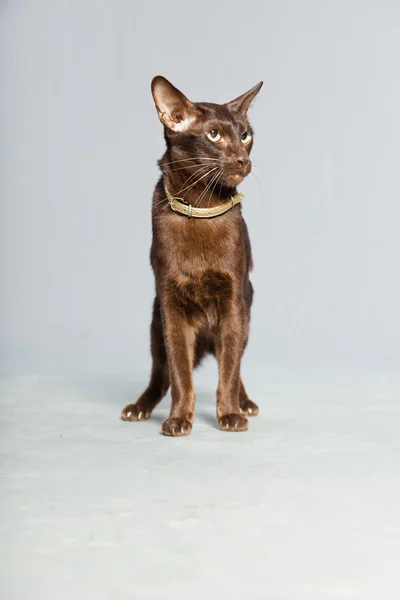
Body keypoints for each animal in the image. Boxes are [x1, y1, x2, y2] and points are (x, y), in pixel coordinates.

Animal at [123, 76, 264, 436]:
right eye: (214, 135)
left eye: (246, 135)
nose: (242, 159)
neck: (201, 208)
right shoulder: (172, 307)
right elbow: (180, 374)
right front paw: (177, 420)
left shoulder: (233, 303)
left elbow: (228, 371)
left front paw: (230, 415)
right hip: (155, 321)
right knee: (160, 374)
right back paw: (139, 408)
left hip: (246, 312)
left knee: (235, 363)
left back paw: (245, 403)